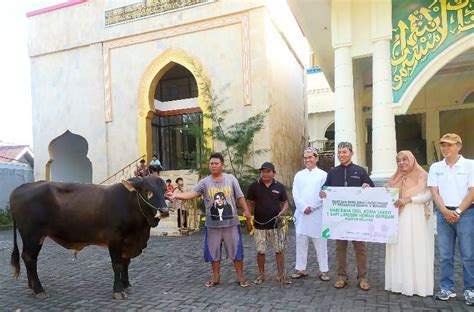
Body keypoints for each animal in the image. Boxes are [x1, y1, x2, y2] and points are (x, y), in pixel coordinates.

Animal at [9, 177, 169, 298]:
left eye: (165, 191)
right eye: (148, 192)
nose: (165, 211)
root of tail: (20, 188)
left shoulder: (126, 243)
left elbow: (125, 263)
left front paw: (126, 285)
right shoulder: (115, 240)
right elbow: (117, 265)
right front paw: (118, 290)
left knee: (29, 258)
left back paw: (32, 287)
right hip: (32, 236)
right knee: (29, 258)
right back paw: (39, 290)